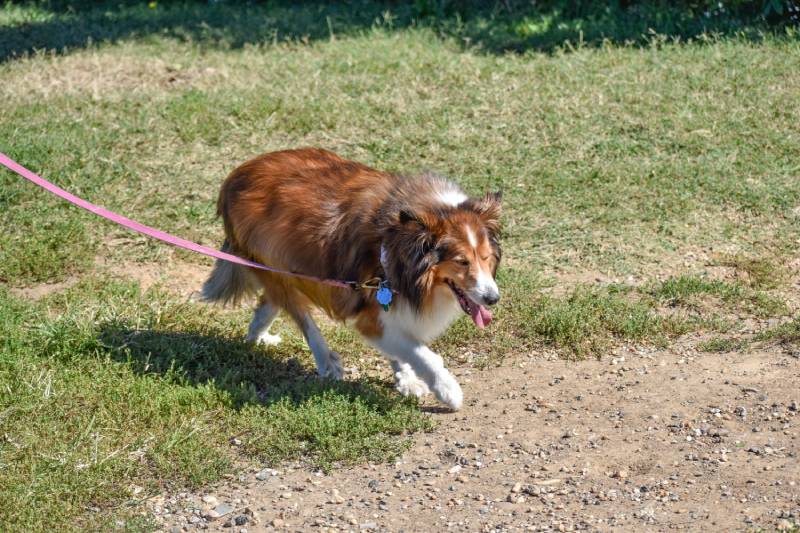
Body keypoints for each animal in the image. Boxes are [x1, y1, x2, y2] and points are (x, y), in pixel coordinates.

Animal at [200, 148, 500, 410]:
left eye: (486, 257)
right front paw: (448, 390)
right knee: (302, 318)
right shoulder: (374, 311)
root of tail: (235, 177)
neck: (398, 241)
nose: (493, 299)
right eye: (462, 261)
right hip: (277, 264)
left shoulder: (387, 303)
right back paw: (326, 361)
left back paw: (257, 336)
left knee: (268, 304)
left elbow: (404, 346)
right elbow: (421, 353)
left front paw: (407, 379)